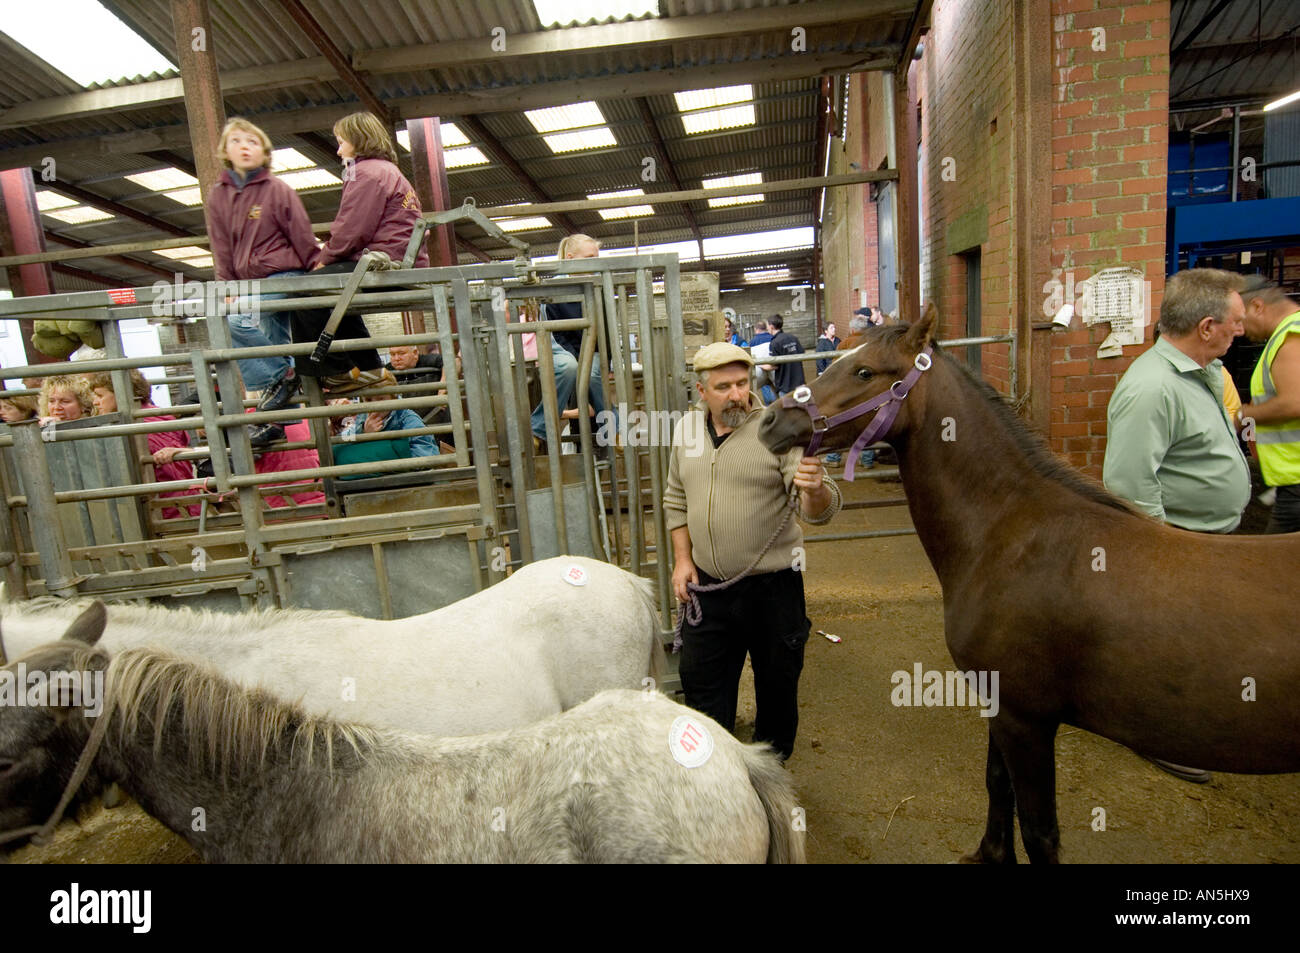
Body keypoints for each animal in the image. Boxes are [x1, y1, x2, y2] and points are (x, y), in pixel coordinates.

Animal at [759, 302, 1300, 863]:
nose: (771, 419)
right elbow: (998, 784)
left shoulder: (1027, 719)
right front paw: (990, 853)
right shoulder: (1003, 705)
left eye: (865, 372)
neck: (1013, 531)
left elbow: (1040, 829)